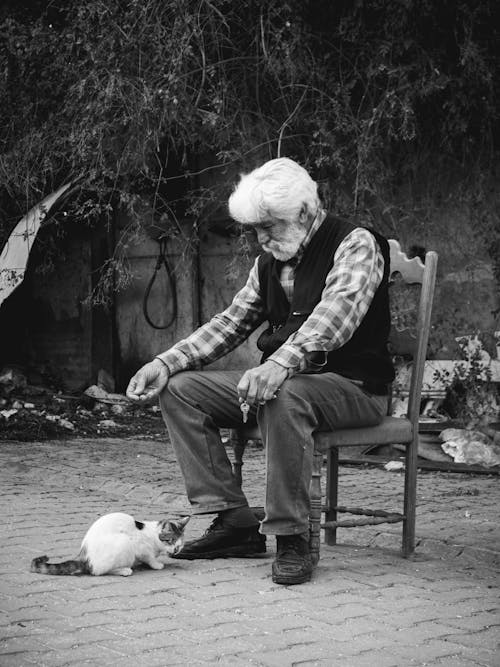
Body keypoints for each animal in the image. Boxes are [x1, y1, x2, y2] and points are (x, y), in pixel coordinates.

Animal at [30, 516, 189, 576]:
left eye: (180, 544)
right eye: (170, 541)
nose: (176, 550)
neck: (152, 535)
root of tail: (84, 557)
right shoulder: (140, 547)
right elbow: (149, 557)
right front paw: (156, 564)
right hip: (124, 542)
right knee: (98, 571)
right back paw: (125, 570)